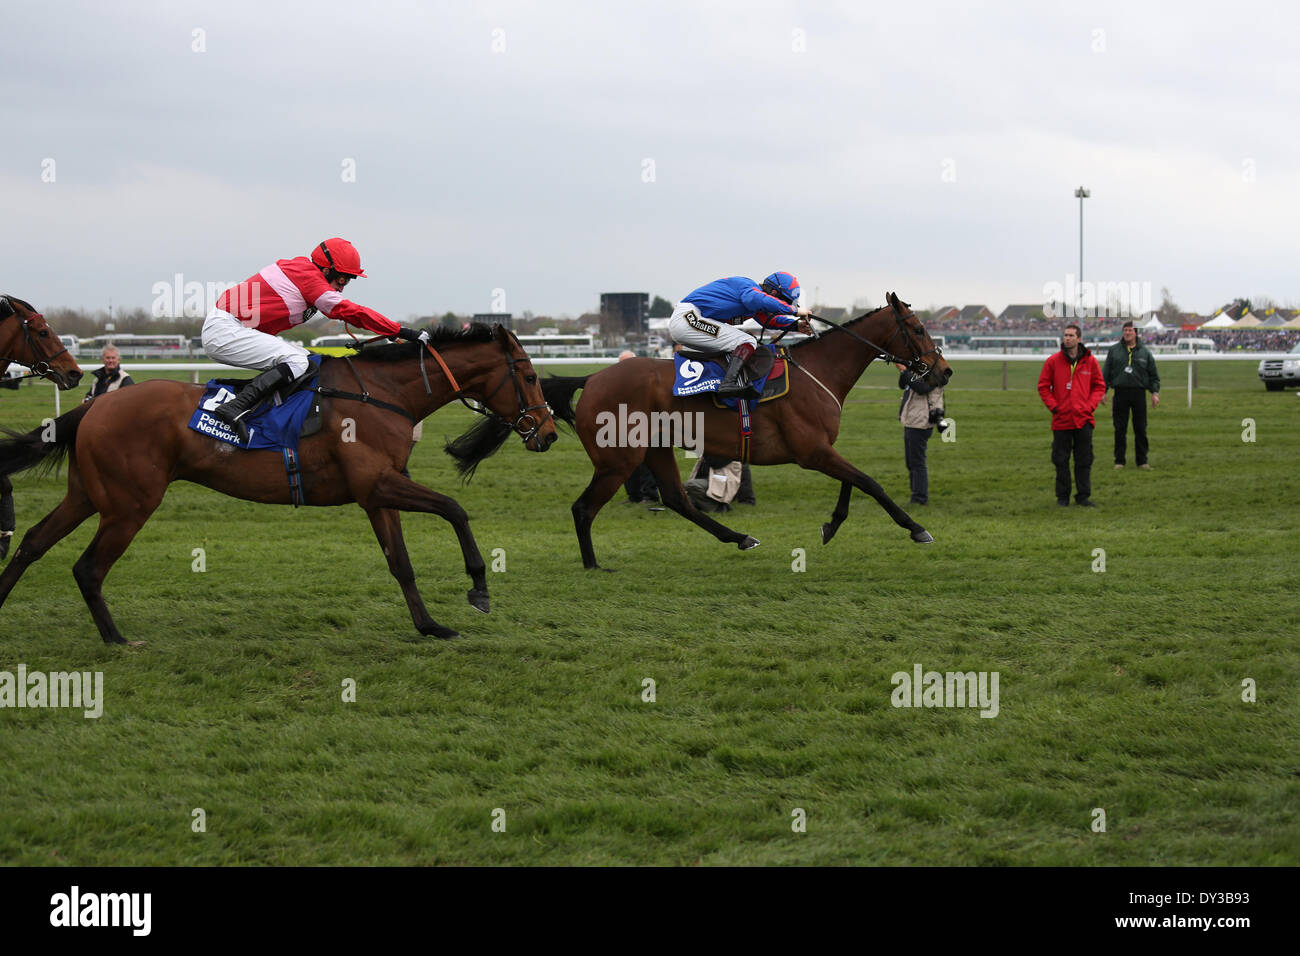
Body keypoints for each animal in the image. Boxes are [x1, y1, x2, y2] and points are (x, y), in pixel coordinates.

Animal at [0, 325, 553, 647]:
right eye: (528, 375)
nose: (547, 432)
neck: (384, 394)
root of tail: (97, 405)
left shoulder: (378, 493)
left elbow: (401, 562)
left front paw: (429, 626)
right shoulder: (379, 484)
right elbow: (455, 509)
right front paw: (479, 588)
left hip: (89, 494)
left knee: (33, 542)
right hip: (129, 504)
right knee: (88, 567)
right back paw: (116, 639)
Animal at [538, 293, 956, 567]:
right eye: (917, 328)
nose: (945, 370)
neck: (818, 370)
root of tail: (593, 377)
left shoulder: (821, 449)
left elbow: (852, 481)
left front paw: (832, 525)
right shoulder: (812, 452)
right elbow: (870, 482)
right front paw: (916, 528)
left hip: (654, 449)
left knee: (677, 499)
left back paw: (740, 538)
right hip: (618, 459)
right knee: (584, 508)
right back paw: (592, 565)